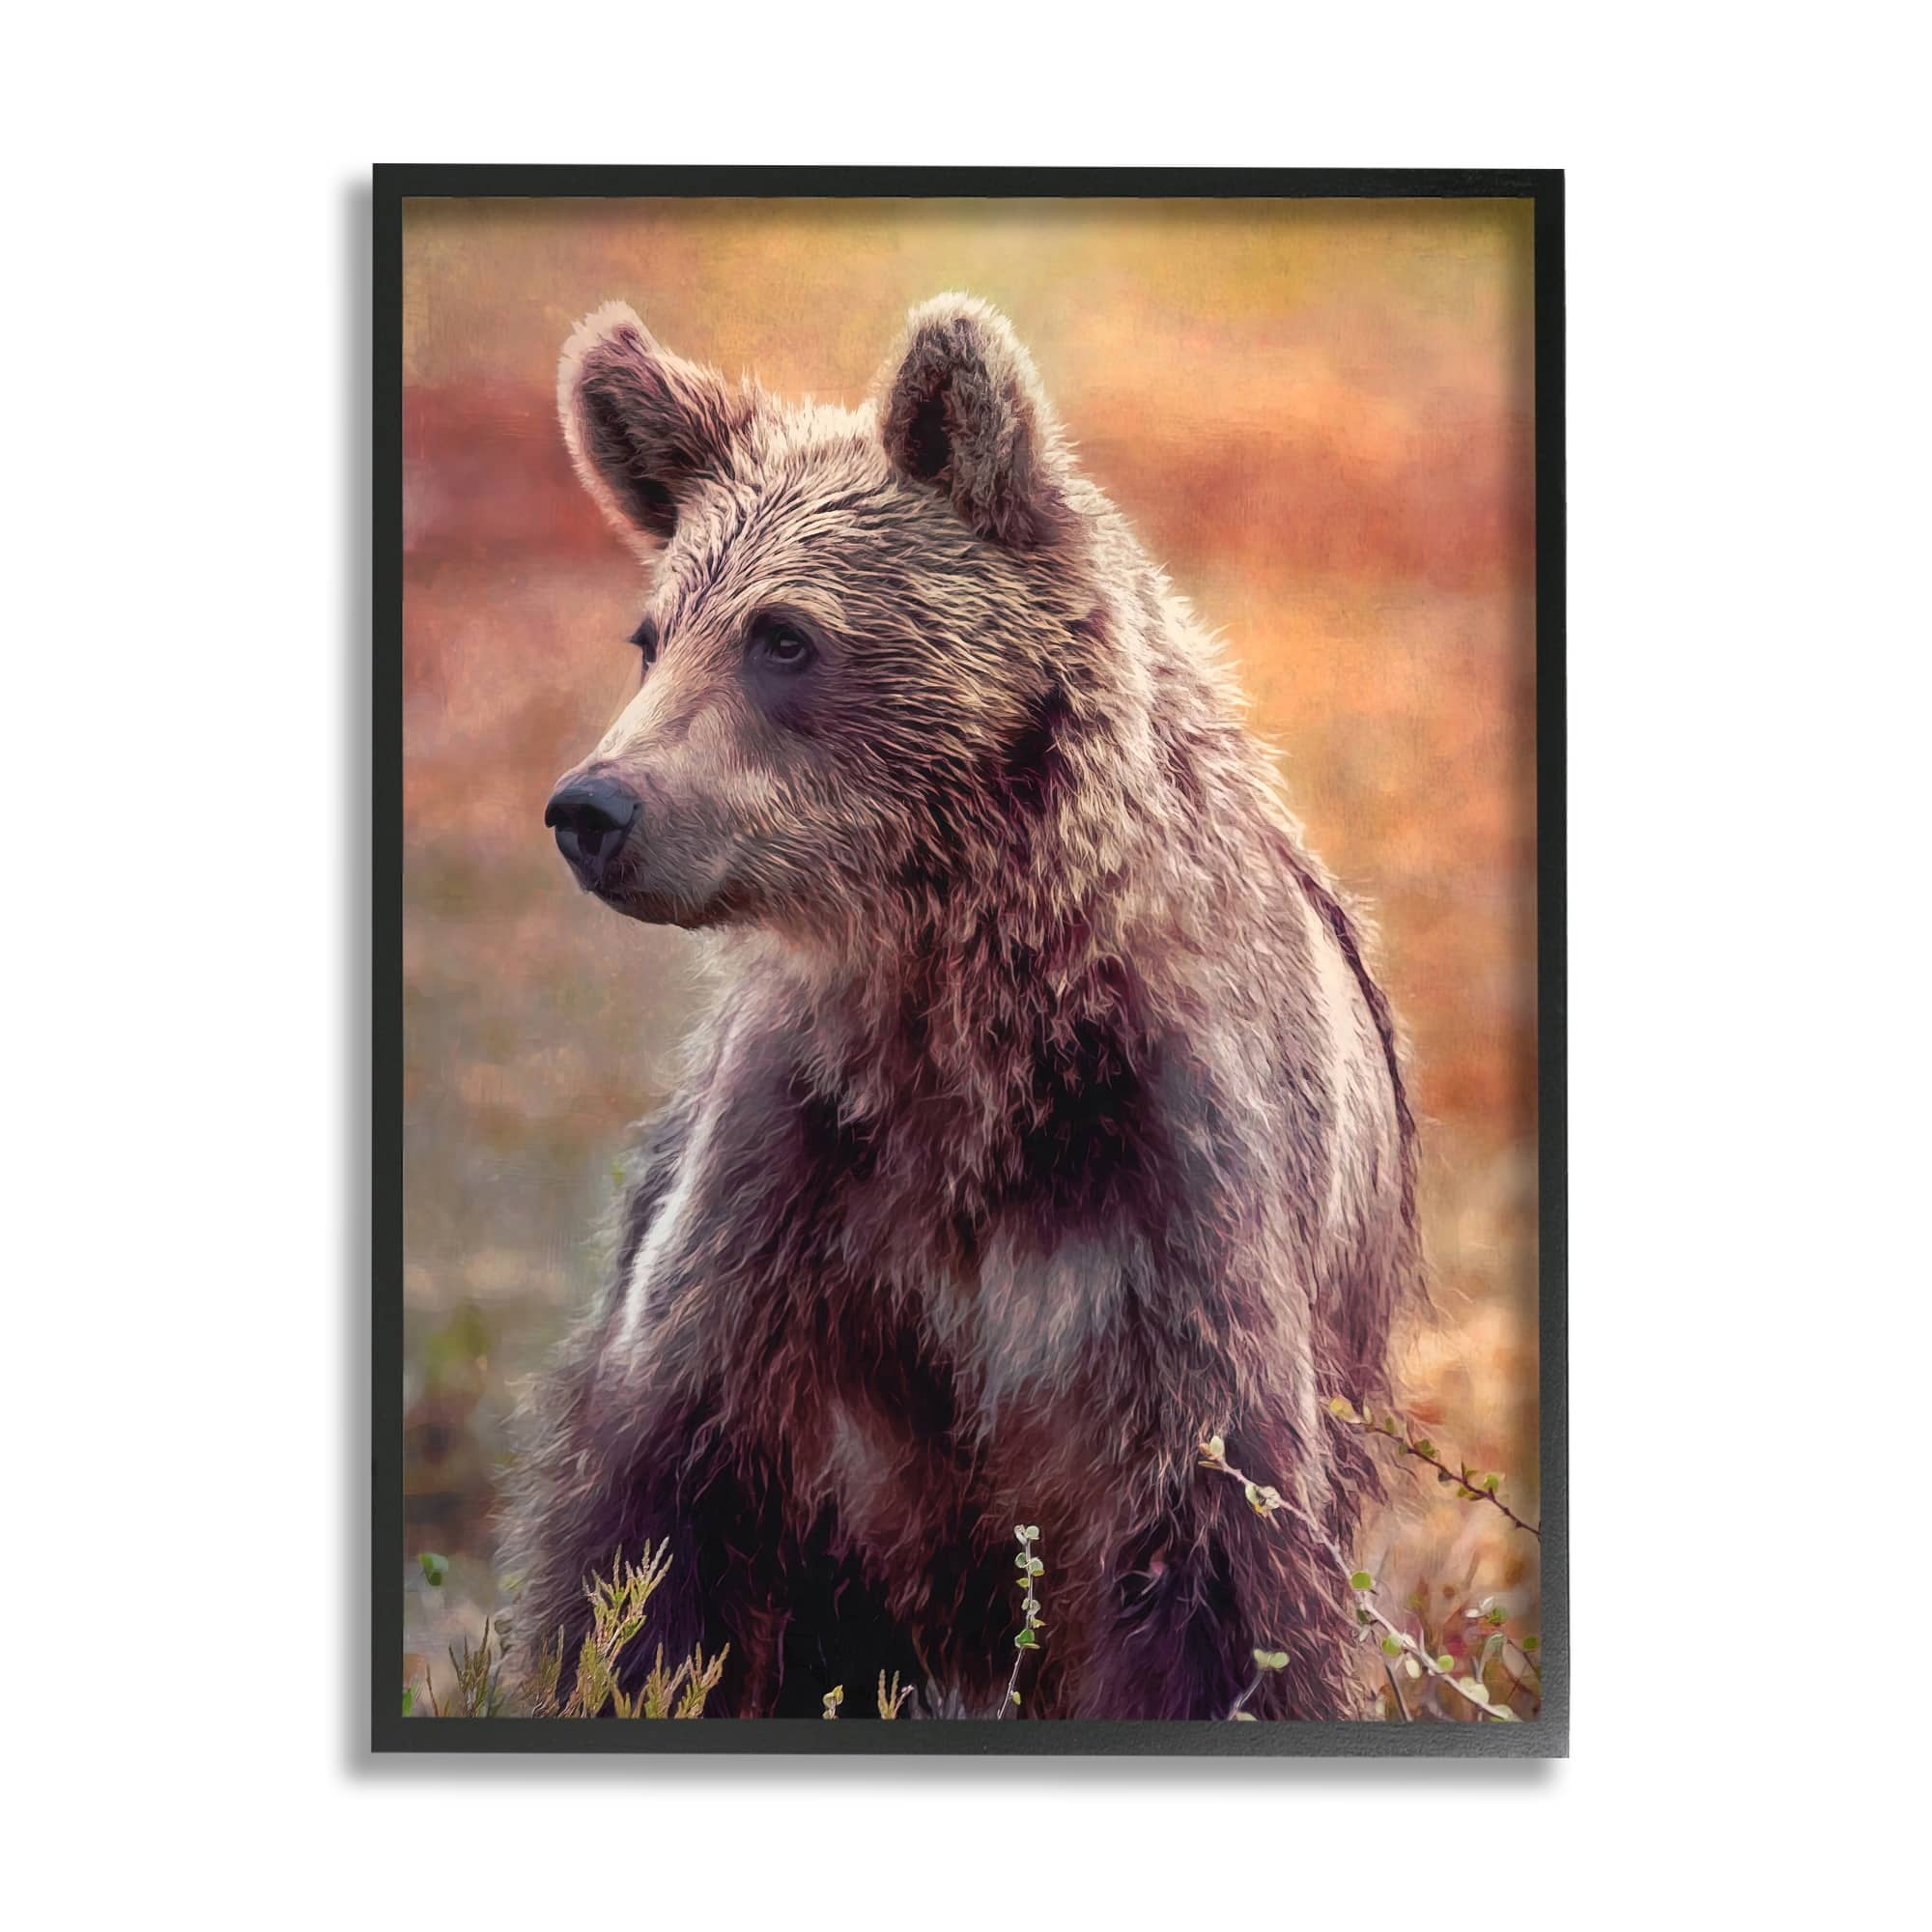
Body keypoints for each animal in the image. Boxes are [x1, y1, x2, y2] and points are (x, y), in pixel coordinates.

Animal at [501, 293, 1420, 1720]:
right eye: (652, 634)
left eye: (784, 635)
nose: (595, 806)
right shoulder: (796, 1194)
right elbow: (660, 1533)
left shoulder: (1169, 1208)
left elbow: (1220, 1578)